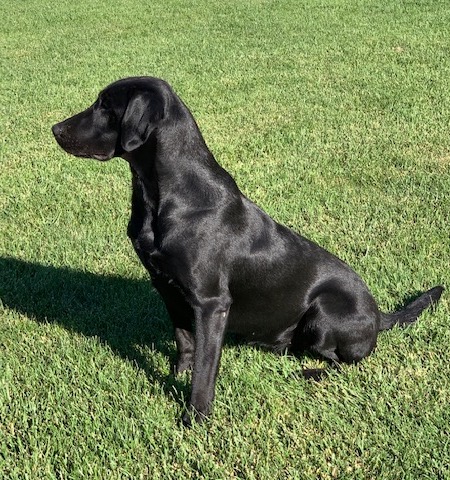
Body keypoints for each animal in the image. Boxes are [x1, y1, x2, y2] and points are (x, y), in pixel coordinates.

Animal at [52, 77, 442, 426]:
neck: (163, 196)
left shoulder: (211, 303)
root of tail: (379, 316)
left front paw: (195, 417)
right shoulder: (167, 287)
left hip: (325, 312)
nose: (55, 129)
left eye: (106, 106)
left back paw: (307, 373)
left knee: (342, 362)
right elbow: (183, 340)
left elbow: (206, 368)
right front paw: (177, 374)